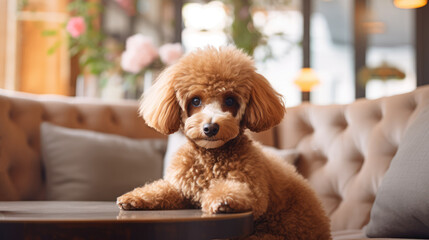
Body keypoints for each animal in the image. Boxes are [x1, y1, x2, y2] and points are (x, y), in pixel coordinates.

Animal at [117, 46, 332, 239]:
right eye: (195, 101)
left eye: (229, 100)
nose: (210, 128)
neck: (210, 158)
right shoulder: (182, 189)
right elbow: (162, 189)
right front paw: (135, 198)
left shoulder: (253, 190)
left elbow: (237, 192)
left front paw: (223, 200)